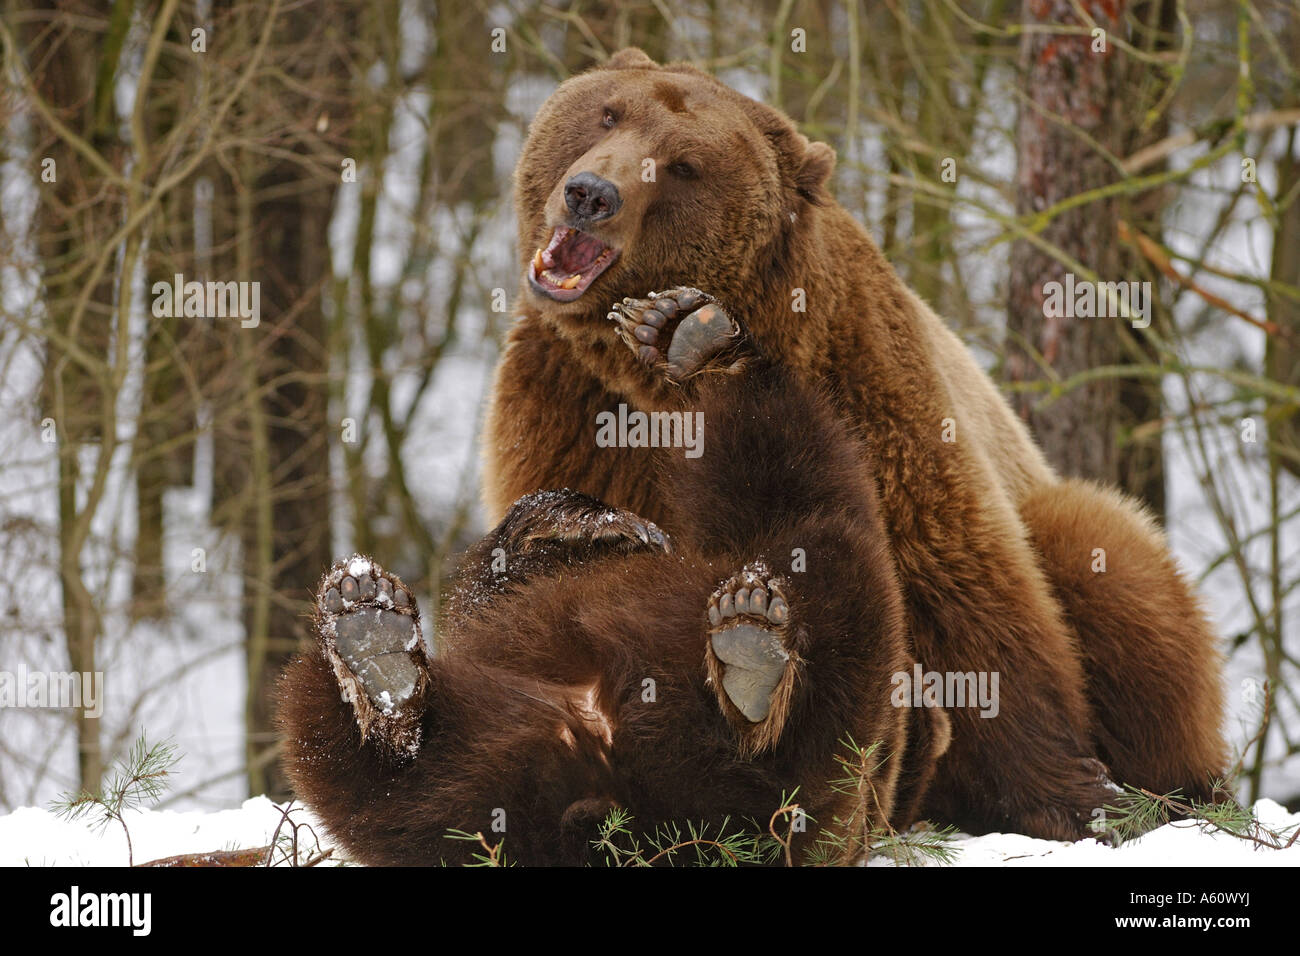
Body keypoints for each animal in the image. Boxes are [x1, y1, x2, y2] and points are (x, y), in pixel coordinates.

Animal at [480, 47, 1229, 841]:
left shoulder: (867, 389)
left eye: (684, 165)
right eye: (607, 113)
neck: (657, 389)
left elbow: (958, 582)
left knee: (1106, 556)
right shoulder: (575, 410)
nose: (591, 193)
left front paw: (1076, 794)